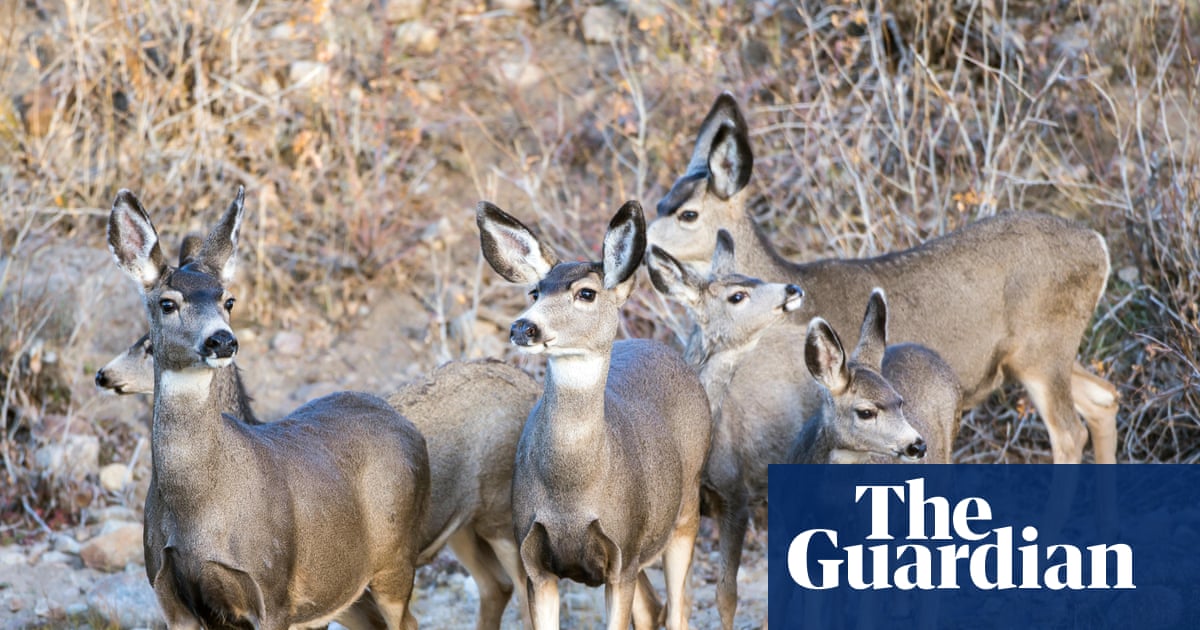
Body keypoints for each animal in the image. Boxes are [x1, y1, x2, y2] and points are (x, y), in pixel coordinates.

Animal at [95, 237, 549, 630]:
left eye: (147, 345)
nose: (103, 375)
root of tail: (531, 385)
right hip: (463, 529)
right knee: (495, 586)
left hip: (500, 515)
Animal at [107, 187, 430, 630]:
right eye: (167, 304)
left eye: (229, 300)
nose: (221, 340)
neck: (197, 509)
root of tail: (409, 427)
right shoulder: (167, 592)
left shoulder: (272, 589)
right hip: (343, 587)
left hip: (396, 561)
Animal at [477, 199, 711, 630]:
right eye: (534, 291)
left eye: (586, 293)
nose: (524, 327)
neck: (572, 491)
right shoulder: (535, 562)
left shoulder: (622, 553)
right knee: (653, 607)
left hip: (686, 508)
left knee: (679, 607)